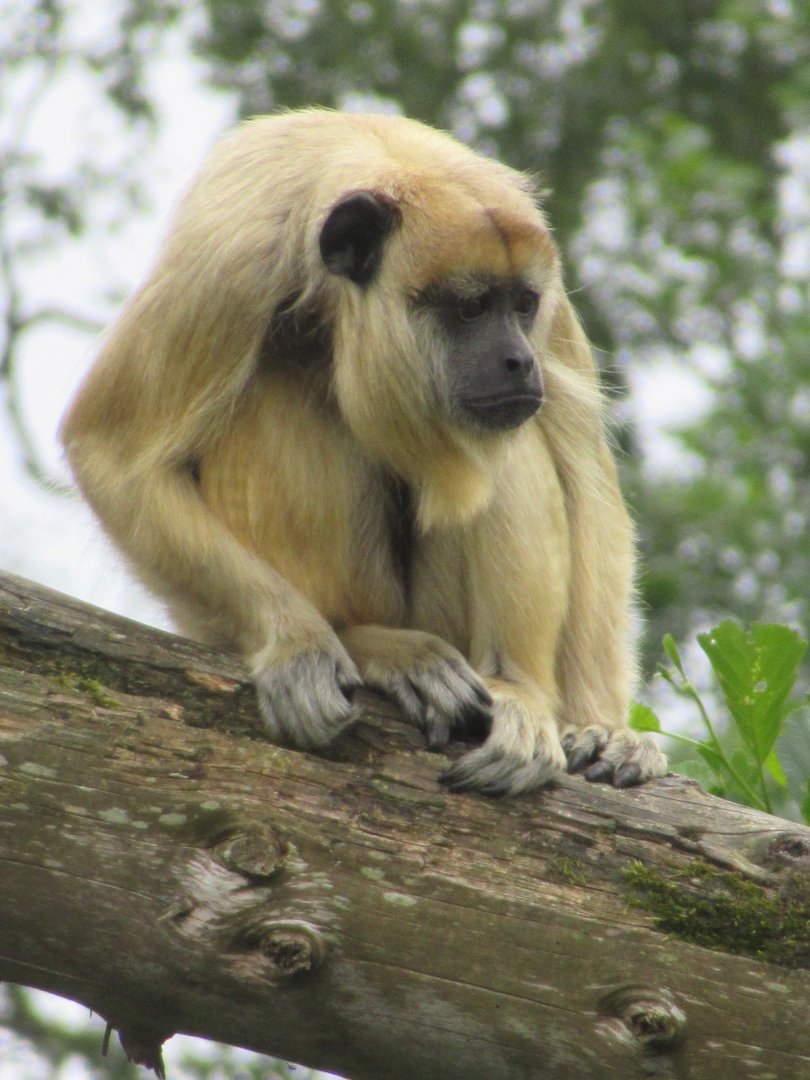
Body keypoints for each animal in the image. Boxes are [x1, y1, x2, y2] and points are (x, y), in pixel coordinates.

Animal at [60, 108, 666, 797]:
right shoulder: (228, 261)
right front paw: (297, 645)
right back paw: (367, 640)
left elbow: (586, 480)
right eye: (471, 307)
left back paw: (518, 691)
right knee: (276, 388)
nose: (519, 359)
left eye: (521, 305)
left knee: (517, 444)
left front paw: (604, 729)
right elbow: (113, 456)